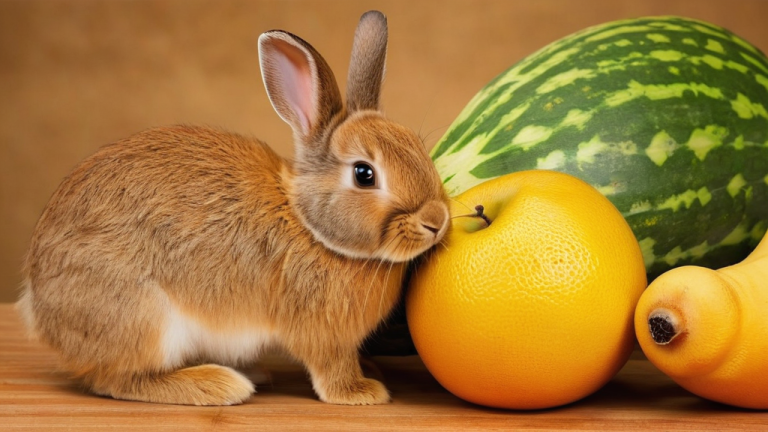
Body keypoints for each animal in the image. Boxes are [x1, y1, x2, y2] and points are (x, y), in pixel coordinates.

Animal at [16, 10, 449, 406]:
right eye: (364, 174)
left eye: (416, 144)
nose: (437, 221)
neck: (311, 227)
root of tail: (40, 307)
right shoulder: (321, 334)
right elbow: (331, 366)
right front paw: (361, 391)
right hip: (144, 316)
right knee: (118, 380)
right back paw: (219, 385)